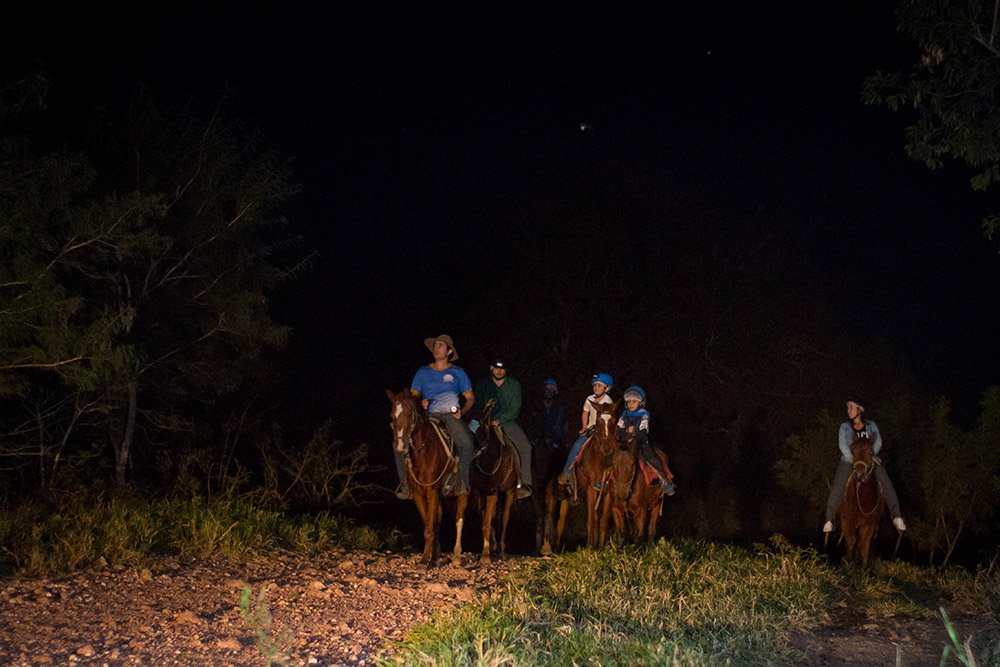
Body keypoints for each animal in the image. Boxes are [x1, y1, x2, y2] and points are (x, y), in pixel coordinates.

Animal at [388, 388, 470, 568]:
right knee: (438, 518)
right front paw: (429, 557)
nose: (400, 446)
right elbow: (429, 524)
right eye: (392, 415)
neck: (422, 451)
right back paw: (437, 554)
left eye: (410, 414)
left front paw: (425, 560)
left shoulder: (432, 490)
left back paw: (457, 556)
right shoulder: (419, 493)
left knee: (459, 519)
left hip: (461, 492)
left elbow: (430, 527)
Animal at [466, 402, 516, 564]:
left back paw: (501, 551)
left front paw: (486, 555)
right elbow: (485, 520)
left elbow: (488, 521)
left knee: (505, 518)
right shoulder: (479, 493)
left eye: (482, 426)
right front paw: (487, 549)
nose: (475, 449)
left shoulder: (493, 492)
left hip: (509, 491)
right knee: (495, 516)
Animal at [540, 400, 616, 556]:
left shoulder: (606, 492)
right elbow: (592, 517)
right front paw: (590, 546)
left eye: (613, 421)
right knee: (549, 514)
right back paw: (546, 548)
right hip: (552, 492)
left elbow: (602, 519)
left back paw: (556, 548)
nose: (607, 448)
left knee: (561, 520)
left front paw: (600, 547)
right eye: (599, 421)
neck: (600, 459)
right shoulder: (590, 489)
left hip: (566, 496)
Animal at [836, 434, 884, 568]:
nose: (859, 473)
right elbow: (851, 541)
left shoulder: (870, 524)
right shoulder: (847, 521)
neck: (863, 499)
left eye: (870, 452)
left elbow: (865, 545)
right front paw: (848, 564)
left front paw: (863, 568)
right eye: (853, 451)